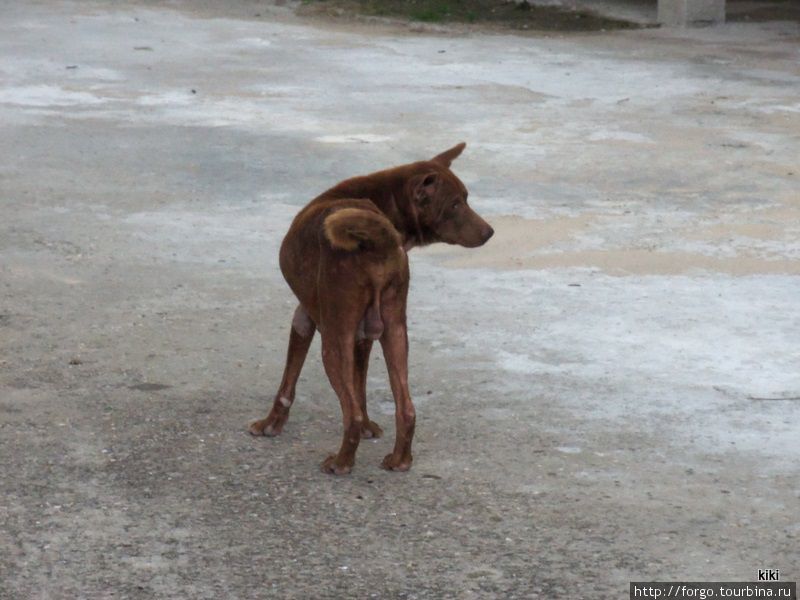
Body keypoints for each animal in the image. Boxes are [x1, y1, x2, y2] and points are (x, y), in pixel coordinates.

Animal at [250, 142, 490, 474]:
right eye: (456, 204)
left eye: (463, 201)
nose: (490, 232)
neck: (383, 200)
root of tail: (376, 241)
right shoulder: (364, 333)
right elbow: (360, 385)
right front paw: (369, 428)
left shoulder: (306, 318)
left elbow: (289, 383)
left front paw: (270, 424)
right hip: (395, 332)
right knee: (406, 409)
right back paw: (400, 460)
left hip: (333, 343)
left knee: (349, 414)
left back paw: (341, 463)